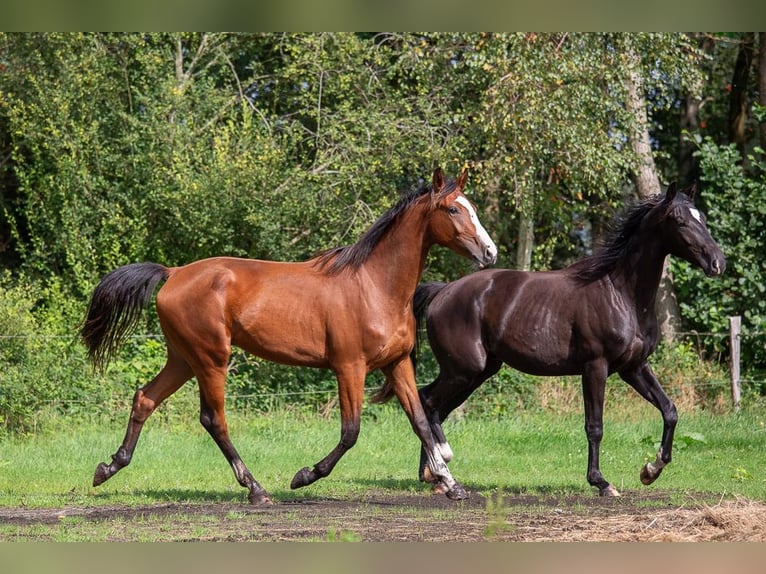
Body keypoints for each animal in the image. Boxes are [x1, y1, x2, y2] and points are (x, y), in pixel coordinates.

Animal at [79, 166, 498, 504]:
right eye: (453, 209)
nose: (490, 252)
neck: (374, 285)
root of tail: (174, 272)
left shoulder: (396, 365)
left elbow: (421, 422)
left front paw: (451, 484)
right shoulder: (349, 367)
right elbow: (351, 432)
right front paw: (305, 475)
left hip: (183, 358)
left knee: (145, 399)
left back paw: (108, 468)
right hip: (211, 359)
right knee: (214, 419)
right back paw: (256, 490)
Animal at [376, 182, 728, 498]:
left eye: (702, 217)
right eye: (680, 220)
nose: (718, 263)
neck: (620, 293)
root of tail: (442, 292)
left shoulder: (634, 367)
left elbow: (670, 410)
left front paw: (651, 471)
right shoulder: (595, 367)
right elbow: (595, 426)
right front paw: (602, 483)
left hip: (478, 372)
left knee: (431, 405)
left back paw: (435, 477)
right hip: (464, 370)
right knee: (428, 403)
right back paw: (441, 473)